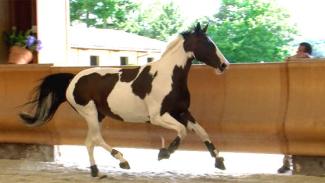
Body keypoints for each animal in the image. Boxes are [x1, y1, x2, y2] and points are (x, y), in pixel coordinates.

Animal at [19, 22, 228, 177]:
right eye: (208, 44)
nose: (224, 65)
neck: (168, 76)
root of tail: (73, 80)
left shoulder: (182, 111)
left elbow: (202, 132)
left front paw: (219, 160)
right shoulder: (158, 116)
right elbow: (182, 131)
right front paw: (164, 153)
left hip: (98, 115)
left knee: (89, 141)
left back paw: (96, 170)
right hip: (90, 113)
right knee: (95, 138)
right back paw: (122, 160)